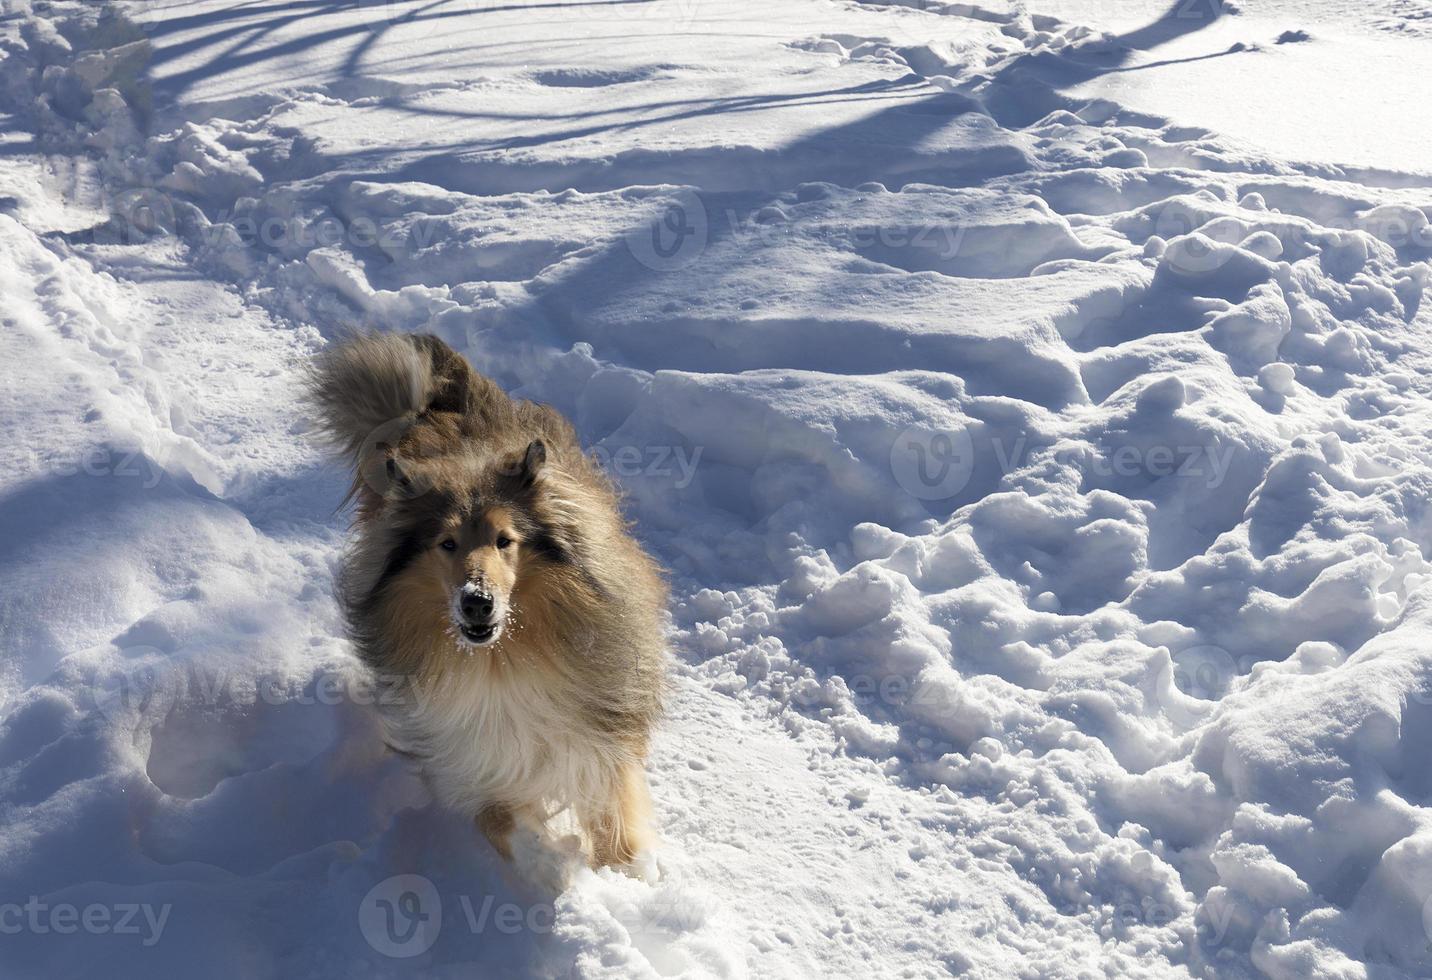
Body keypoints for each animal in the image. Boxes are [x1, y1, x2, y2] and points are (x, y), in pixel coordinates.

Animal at [307, 332, 664, 871]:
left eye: (504, 540)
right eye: (447, 543)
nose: (477, 603)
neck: (502, 660)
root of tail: (429, 407)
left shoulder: (600, 737)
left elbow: (614, 822)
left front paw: (624, 878)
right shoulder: (472, 759)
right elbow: (502, 820)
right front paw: (548, 868)